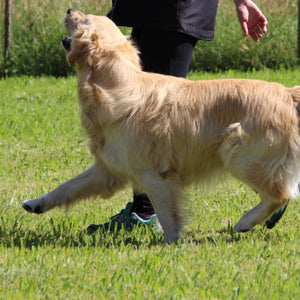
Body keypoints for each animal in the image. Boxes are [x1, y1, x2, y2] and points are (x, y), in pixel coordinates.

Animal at [22, 8, 300, 244]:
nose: (70, 10)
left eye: (84, 19)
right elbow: (66, 187)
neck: (116, 84)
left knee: (281, 194)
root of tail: (287, 92)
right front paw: (36, 203)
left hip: (237, 153)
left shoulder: (154, 175)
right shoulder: (107, 169)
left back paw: (245, 222)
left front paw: (172, 243)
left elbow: (167, 213)